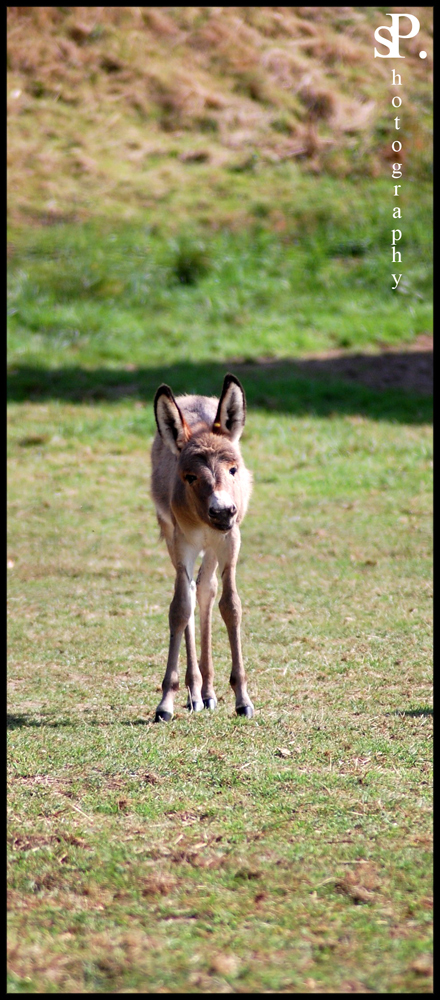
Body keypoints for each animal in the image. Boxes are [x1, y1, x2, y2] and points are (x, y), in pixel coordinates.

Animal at [152, 374, 253, 720]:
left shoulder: (230, 540)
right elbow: (180, 609)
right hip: (176, 540)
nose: (222, 511)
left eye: (233, 469)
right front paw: (165, 703)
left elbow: (231, 606)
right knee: (193, 592)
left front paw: (242, 699)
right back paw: (195, 693)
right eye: (190, 476)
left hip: (213, 547)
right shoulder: (183, 543)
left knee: (206, 589)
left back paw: (207, 692)